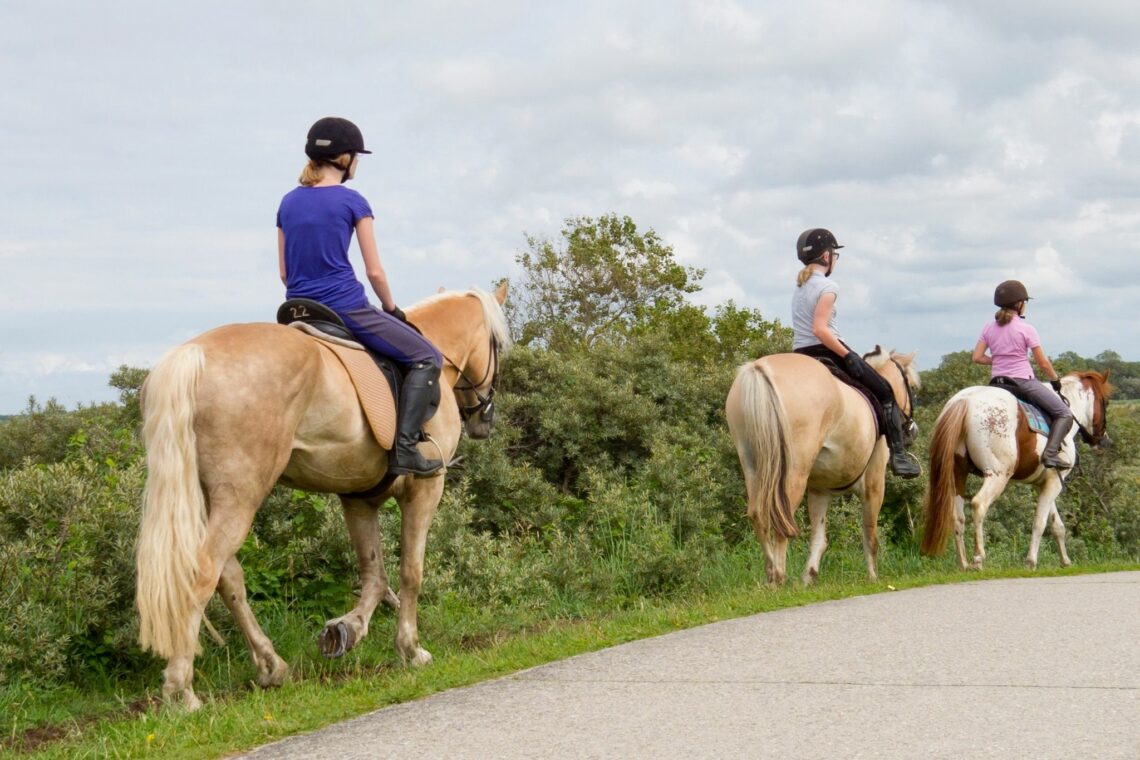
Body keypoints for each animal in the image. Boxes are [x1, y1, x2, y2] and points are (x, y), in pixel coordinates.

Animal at [135, 283, 511, 710]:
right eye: (498, 344)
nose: (483, 420)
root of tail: (191, 355)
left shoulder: (358, 497)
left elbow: (374, 576)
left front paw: (347, 629)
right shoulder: (425, 487)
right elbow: (410, 572)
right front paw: (411, 649)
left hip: (214, 497)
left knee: (228, 577)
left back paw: (271, 665)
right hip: (239, 496)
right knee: (202, 572)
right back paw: (181, 690)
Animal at [725, 347, 920, 586]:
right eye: (912, 386)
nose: (912, 430)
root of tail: (759, 369)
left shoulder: (820, 490)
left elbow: (819, 538)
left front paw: (809, 576)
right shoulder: (874, 484)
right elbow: (870, 534)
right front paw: (873, 577)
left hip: (753, 466)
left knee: (757, 514)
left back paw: (771, 573)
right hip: (794, 473)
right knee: (781, 518)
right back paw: (779, 576)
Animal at [920, 371, 1111, 570]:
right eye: (1105, 402)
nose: (1103, 439)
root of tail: (965, 400)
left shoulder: (1044, 483)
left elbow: (1056, 525)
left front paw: (1065, 561)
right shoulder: (1054, 483)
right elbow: (1039, 523)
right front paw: (1031, 561)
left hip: (958, 473)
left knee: (958, 517)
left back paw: (963, 564)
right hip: (997, 475)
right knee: (979, 504)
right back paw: (978, 558)